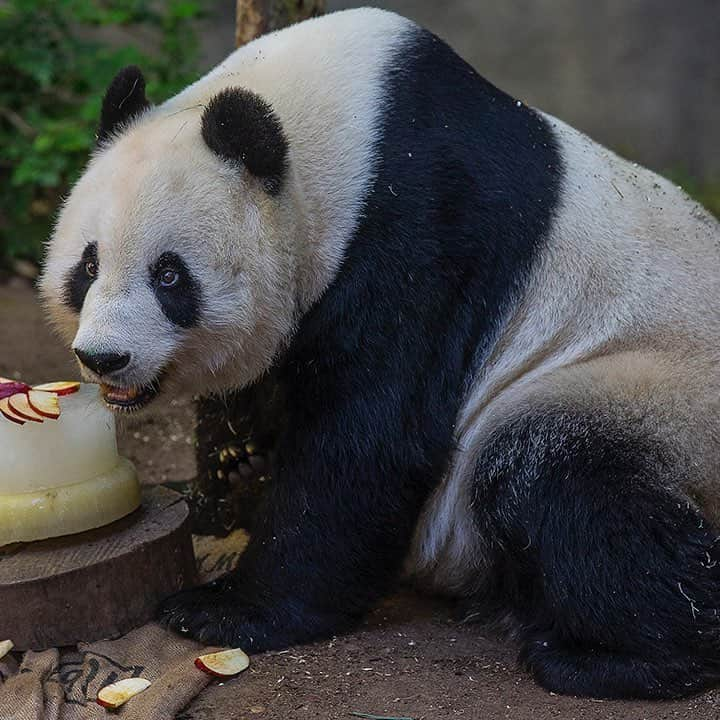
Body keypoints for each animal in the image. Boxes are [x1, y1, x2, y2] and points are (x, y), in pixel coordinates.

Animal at [39, 8, 720, 700]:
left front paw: (227, 609)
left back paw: (611, 657)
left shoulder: (422, 234)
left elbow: (369, 440)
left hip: (646, 393)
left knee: (562, 484)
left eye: (169, 276)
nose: (104, 357)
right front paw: (216, 490)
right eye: (88, 266)